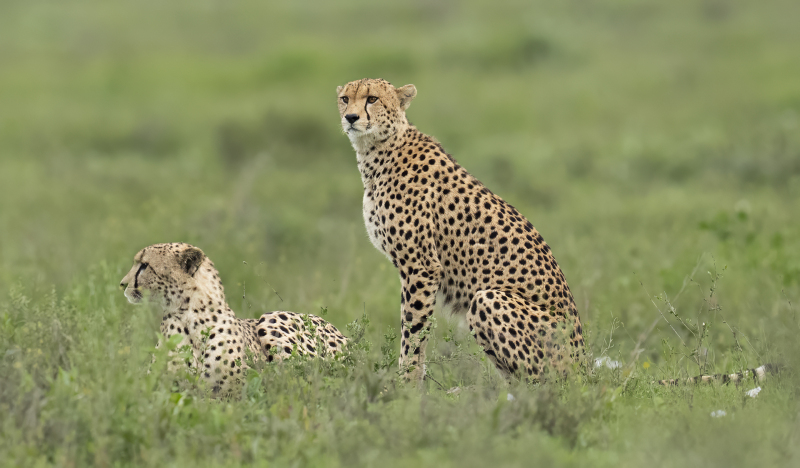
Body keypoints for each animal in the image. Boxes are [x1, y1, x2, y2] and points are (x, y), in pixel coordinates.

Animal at [336, 78, 586, 384]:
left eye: (372, 99)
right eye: (345, 99)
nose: (351, 117)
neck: (378, 149)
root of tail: (585, 366)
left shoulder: (421, 267)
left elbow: (413, 333)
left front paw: (405, 386)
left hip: (488, 298)